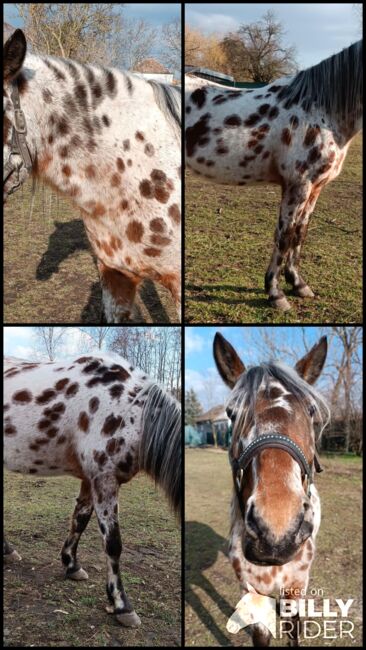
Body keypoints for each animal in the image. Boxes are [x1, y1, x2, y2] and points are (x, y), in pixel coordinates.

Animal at [2, 352, 180, 624]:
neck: (129, 411)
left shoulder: (90, 479)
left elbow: (80, 520)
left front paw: (71, 565)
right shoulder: (104, 480)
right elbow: (113, 543)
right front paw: (121, 605)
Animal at [186, 41, 364, 310]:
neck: (320, 112)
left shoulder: (315, 188)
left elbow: (300, 233)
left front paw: (298, 284)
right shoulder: (297, 186)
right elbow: (284, 235)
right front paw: (275, 293)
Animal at [212, 334, 328, 644]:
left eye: (310, 410)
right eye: (232, 413)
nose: (276, 529)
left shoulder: (297, 585)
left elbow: (293, 629)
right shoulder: (250, 586)